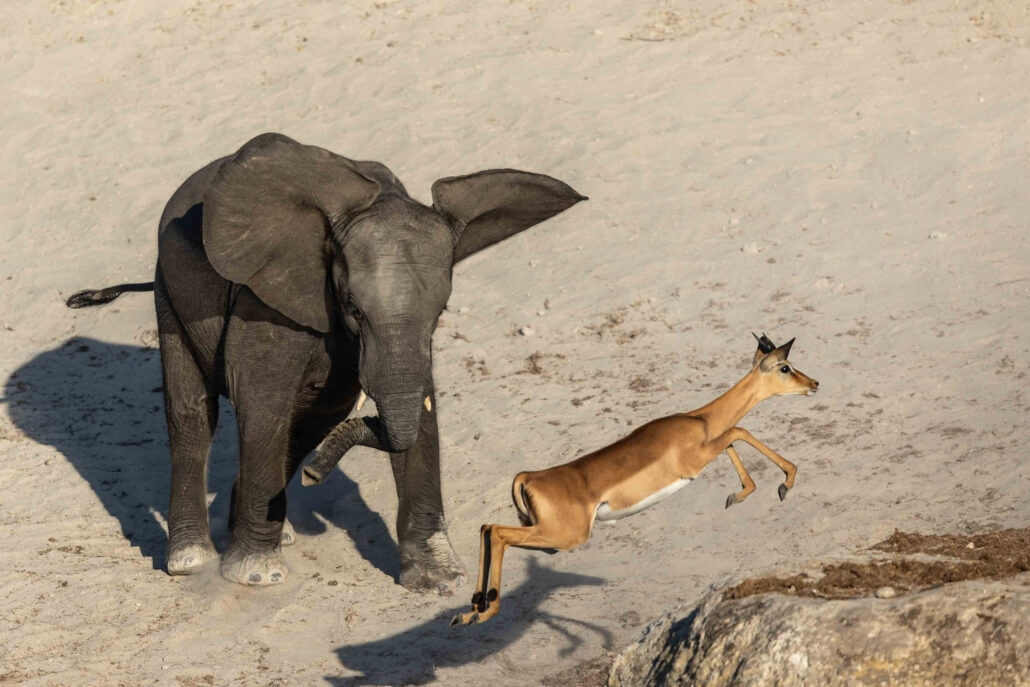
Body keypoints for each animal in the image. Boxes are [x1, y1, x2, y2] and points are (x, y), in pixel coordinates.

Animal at [67, 132, 586, 592]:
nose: (315, 476)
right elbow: (262, 401)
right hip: (171, 290)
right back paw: (192, 561)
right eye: (354, 309)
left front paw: (441, 581)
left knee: (312, 420)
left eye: (442, 312)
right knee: (195, 414)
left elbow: (416, 406)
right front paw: (256, 576)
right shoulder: (266, 298)